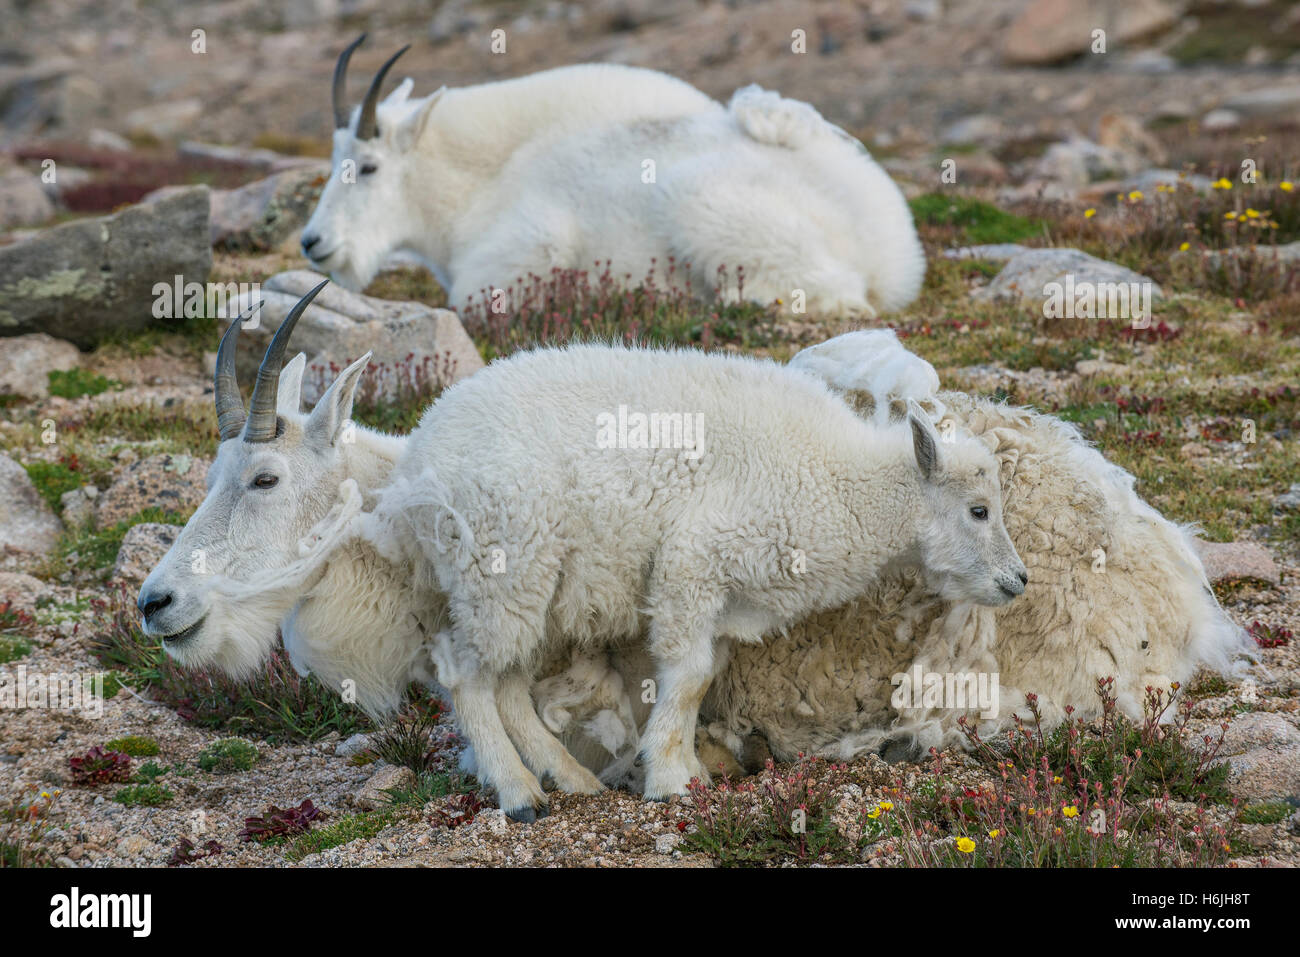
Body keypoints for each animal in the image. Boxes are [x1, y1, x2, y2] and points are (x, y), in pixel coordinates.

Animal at [137, 283, 1019, 821]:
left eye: (260, 477)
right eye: (979, 508)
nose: (1016, 581)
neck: (843, 478)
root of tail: (420, 470)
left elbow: (698, 673)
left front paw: (677, 768)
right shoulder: (695, 563)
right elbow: (687, 674)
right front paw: (673, 781)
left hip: (529, 588)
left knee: (503, 680)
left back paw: (572, 778)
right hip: (506, 569)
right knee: (467, 674)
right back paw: (522, 793)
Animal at [300, 35, 925, 317]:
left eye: (370, 167)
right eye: (333, 161)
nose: (312, 241)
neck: (484, 180)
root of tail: (892, 240)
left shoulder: (520, 256)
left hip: (704, 203)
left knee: (835, 294)